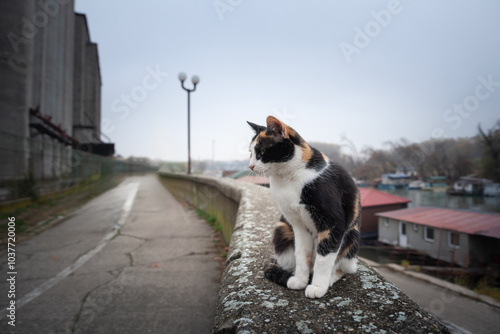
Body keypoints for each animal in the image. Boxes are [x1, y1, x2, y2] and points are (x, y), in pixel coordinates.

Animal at [246, 116, 360, 298]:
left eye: (261, 153)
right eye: (250, 153)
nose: (250, 166)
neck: (287, 178)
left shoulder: (332, 223)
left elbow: (324, 258)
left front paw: (318, 286)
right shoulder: (297, 225)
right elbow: (301, 253)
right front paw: (300, 279)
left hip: (352, 235)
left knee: (343, 267)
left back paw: (330, 278)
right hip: (282, 228)